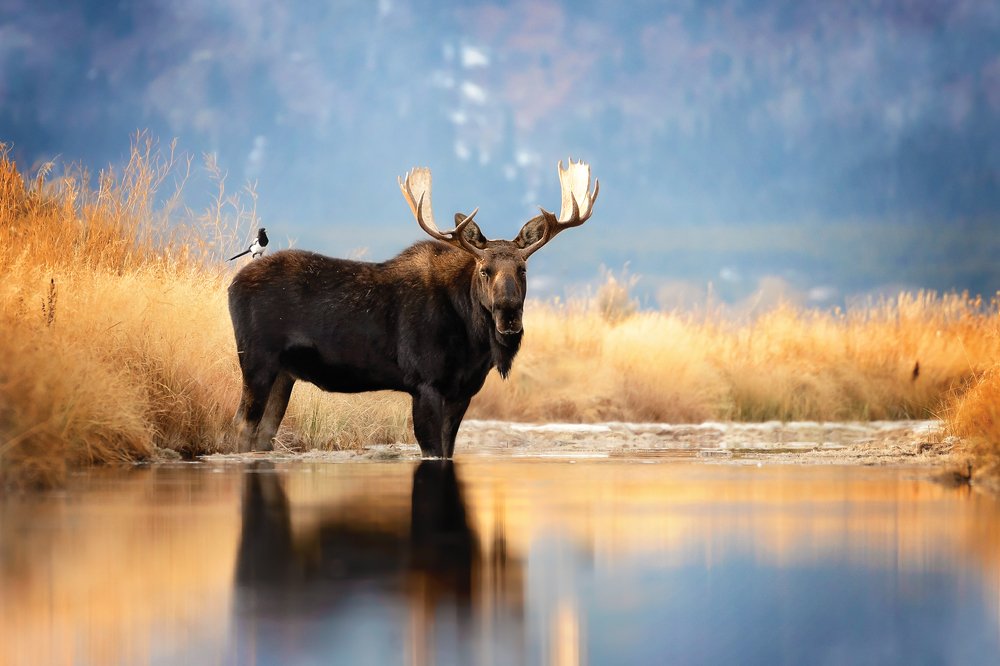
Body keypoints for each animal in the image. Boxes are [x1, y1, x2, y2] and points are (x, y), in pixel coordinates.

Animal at [227, 159, 598, 457]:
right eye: (484, 270)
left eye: (522, 269)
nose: (509, 316)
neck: (472, 340)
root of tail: (232, 285)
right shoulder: (425, 384)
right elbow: (431, 449)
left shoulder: (463, 391)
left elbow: (448, 449)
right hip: (257, 361)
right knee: (242, 424)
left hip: (284, 372)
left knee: (264, 432)